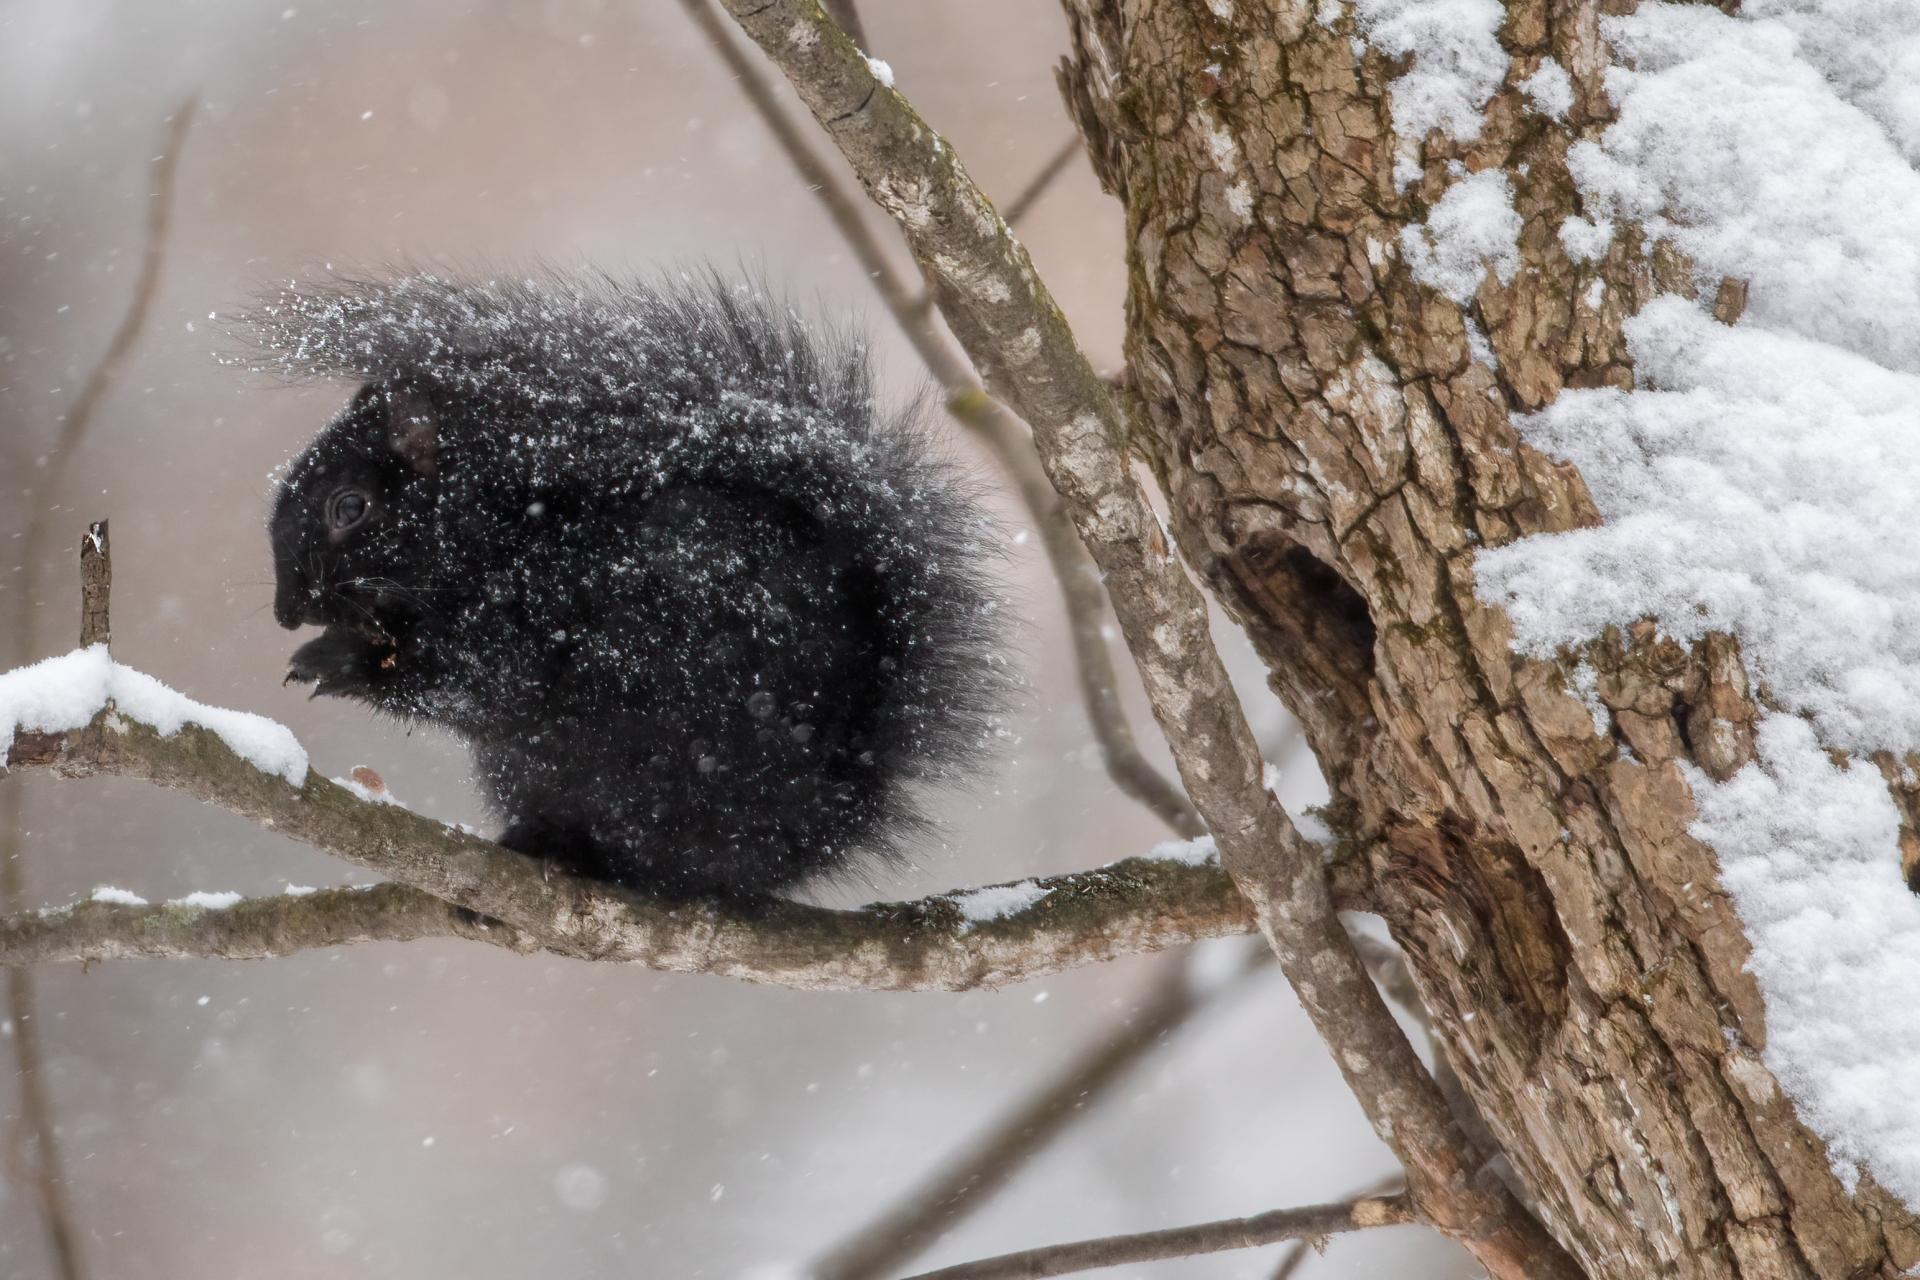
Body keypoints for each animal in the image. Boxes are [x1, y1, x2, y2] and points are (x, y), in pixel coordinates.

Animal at [253, 272, 1007, 901]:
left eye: (350, 506)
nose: (286, 612)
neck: (513, 524)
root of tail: (824, 824)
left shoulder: (546, 601)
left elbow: (484, 675)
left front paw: (338, 660)